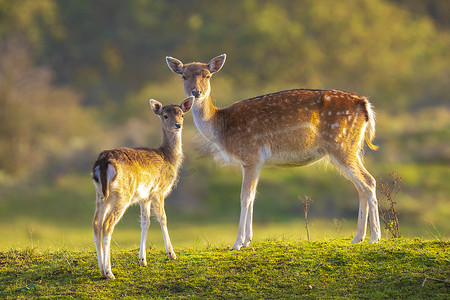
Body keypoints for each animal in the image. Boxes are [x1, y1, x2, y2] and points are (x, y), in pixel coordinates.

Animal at [92, 96, 192, 278]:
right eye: (165, 115)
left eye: (182, 114)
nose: (178, 125)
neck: (168, 159)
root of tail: (103, 162)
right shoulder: (158, 191)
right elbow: (163, 218)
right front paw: (172, 254)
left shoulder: (144, 197)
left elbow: (145, 222)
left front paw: (142, 260)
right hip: (122, 194)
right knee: (107, 225)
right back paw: (109, 272)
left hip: (101, 194)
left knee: (96, 224)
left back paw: (102, 269)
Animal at [167, 54, 382, 251]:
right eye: (184, 76)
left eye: (207, 75)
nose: (196, 92)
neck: (222, 127)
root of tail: (364, 104)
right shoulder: (256, 160)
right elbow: (253, 196)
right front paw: (248, 240)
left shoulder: (251, 155)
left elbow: (245, 196)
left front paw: (237, 243)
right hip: (351, 147)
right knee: (360, 185)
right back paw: (357, 238)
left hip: (341, 145)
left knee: (369, 181)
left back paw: (375, 238)